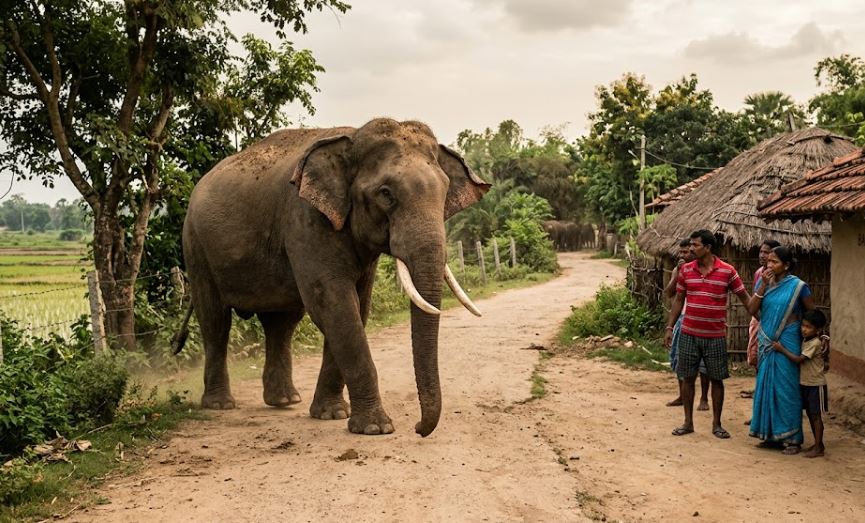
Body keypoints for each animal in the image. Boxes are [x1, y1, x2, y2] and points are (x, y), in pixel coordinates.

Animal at [173, 118, 490, 437]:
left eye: (445, 191)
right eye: (386, 193)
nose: (417, 428)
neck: (353, 137)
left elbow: (358, 307)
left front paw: (332, 414)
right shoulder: (305, 218)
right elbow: (334, 303)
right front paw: (375, 428)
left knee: (281, 324)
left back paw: (285, 400)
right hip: (195, 246)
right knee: (215, 320)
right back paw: (220, 404)